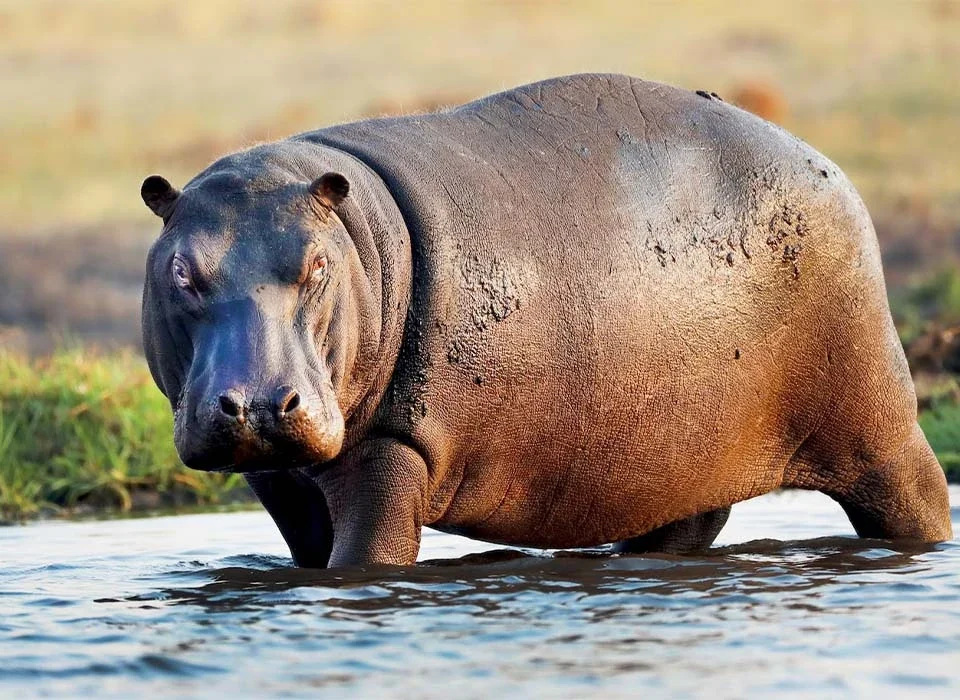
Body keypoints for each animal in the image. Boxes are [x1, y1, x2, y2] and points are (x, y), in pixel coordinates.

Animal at [140, 73, 952, 568]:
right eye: (180, 270)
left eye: (316, 265)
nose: (257, 404)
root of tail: (824, 162)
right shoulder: (278, 475)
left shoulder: (394, 447)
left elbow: (367, 557)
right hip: (684, 453)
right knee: (688, 524)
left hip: (875, 420)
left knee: (919, 493)